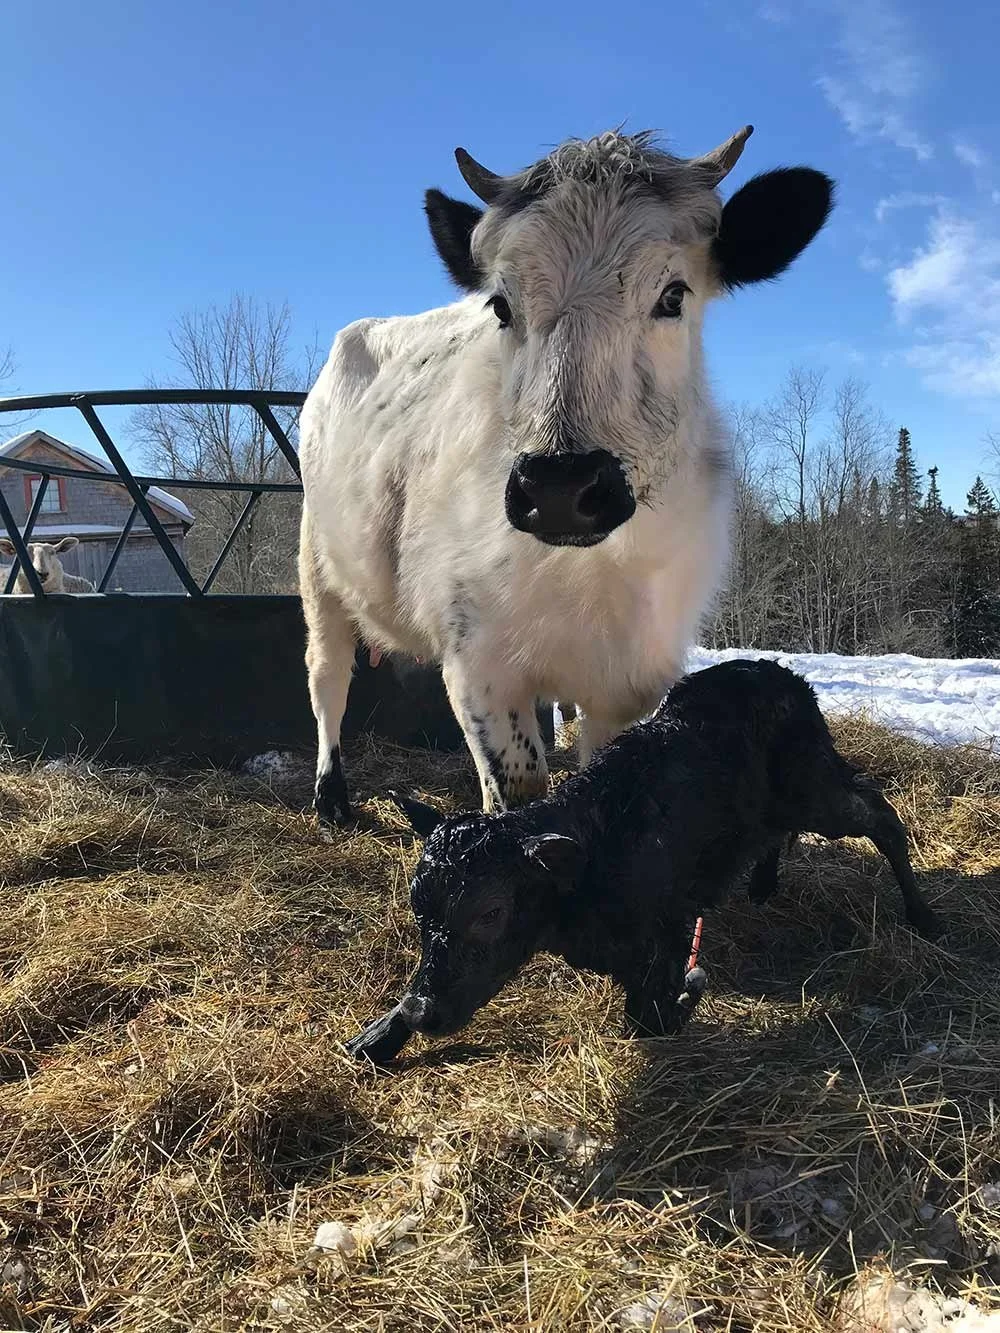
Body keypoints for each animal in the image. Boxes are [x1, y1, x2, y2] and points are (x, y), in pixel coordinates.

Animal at [298, 127, 834, 825]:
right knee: (327, 679)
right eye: (501, 306)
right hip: (317, 570)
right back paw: (330, 793)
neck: (590, 575)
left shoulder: (633, 677)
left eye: (673, 295)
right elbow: (516, 791)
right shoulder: (478, 669)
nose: (558, 491)